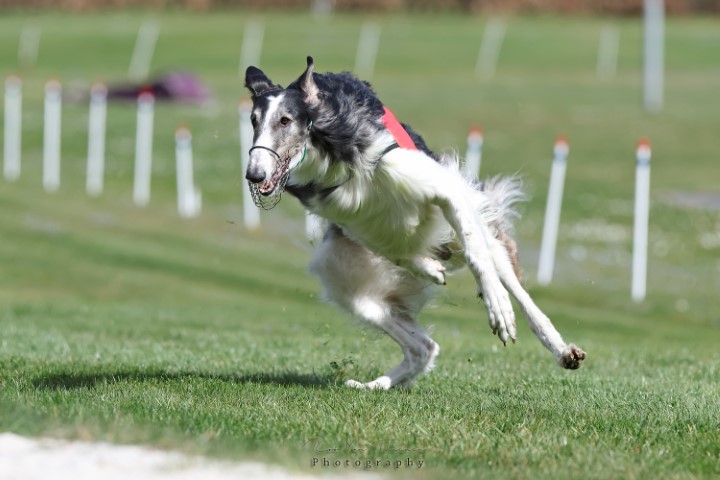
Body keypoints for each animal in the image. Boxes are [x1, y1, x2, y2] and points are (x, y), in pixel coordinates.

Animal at [244, 57, 585, 389]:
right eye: (253, 120)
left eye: (285, 120)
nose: (253, 175)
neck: (329, 149)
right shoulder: (352, 220)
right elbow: (398, 250)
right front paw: (429, 268)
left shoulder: (443, 188)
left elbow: (478, 258)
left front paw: (498, 309)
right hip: (346, 279)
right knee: (424, 347)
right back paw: (373, 385)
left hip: (475, 231)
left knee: (515, 290)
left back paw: (559, 347)